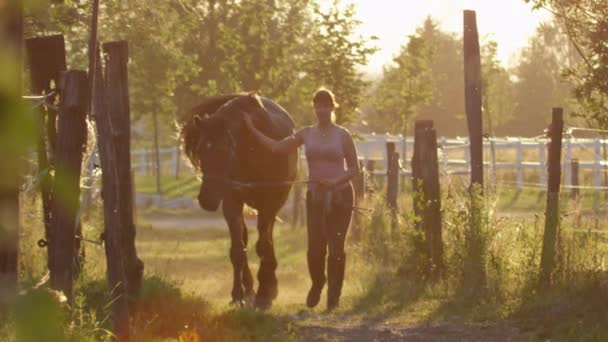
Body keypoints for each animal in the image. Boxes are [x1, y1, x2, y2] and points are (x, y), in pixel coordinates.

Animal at [178, 92, 296, 308]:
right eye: (200, 149)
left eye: (225, 149)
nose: (207, 199)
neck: (252, 150)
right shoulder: (232, 203)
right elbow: (237, 250)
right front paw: (238, 294)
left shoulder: (269, 204)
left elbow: (263, 245)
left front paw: (265, 293)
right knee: (245, 238)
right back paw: (249, 288)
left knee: (267, 238)